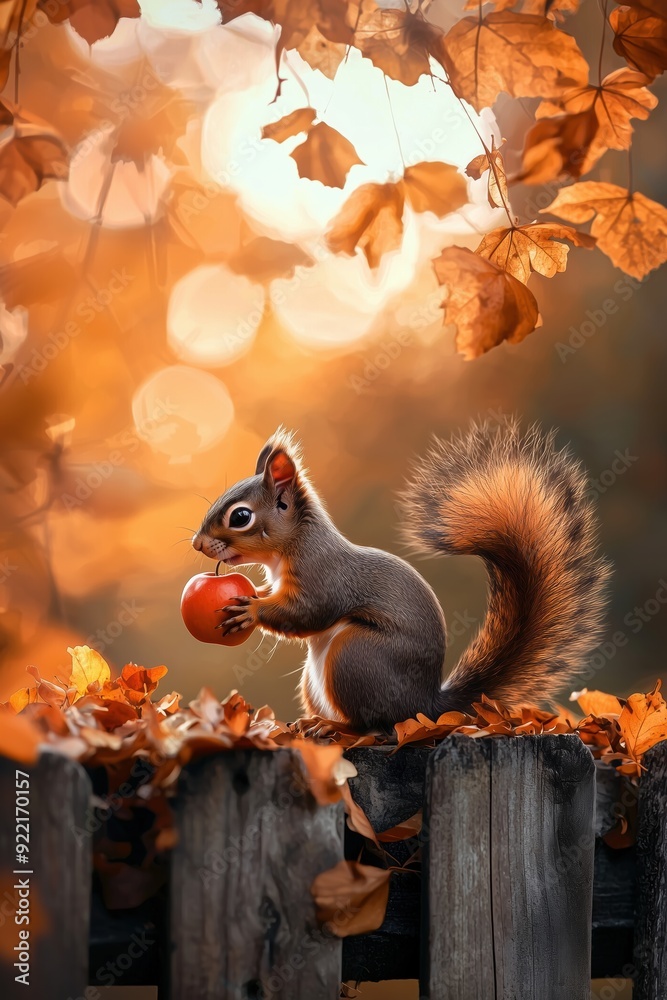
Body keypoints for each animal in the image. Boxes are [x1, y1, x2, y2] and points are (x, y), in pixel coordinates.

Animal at [192, 420, 611, 733]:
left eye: (241, 516)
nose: (197, 544)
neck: (291, 548)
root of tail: (425, 705)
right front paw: (258, 594)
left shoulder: (323, 577)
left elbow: (308, 613)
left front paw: (250, 611)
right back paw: (311, 722)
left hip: (356, 657)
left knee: (372, 724)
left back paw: (334, 727)